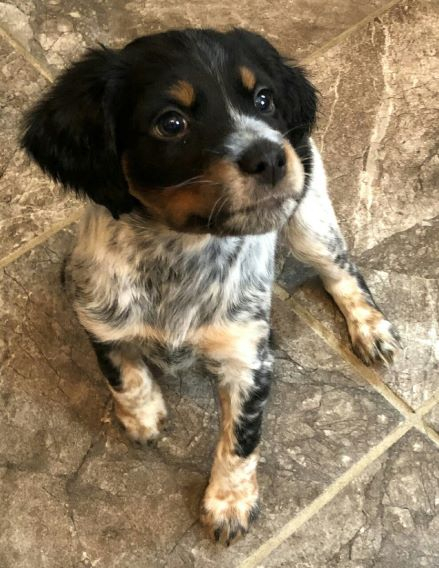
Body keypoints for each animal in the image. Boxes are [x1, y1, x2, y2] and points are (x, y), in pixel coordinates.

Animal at [20, 28, 400, 544]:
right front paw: (142, 415)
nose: (270, 156)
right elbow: (121, 371)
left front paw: (228, 502)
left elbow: (241, 440)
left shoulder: (249, 357)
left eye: (263, 99)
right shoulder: (92, 305)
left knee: (342, 270)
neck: (178, 252)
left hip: (308, 217)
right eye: (171, 122)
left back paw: (369, 328)